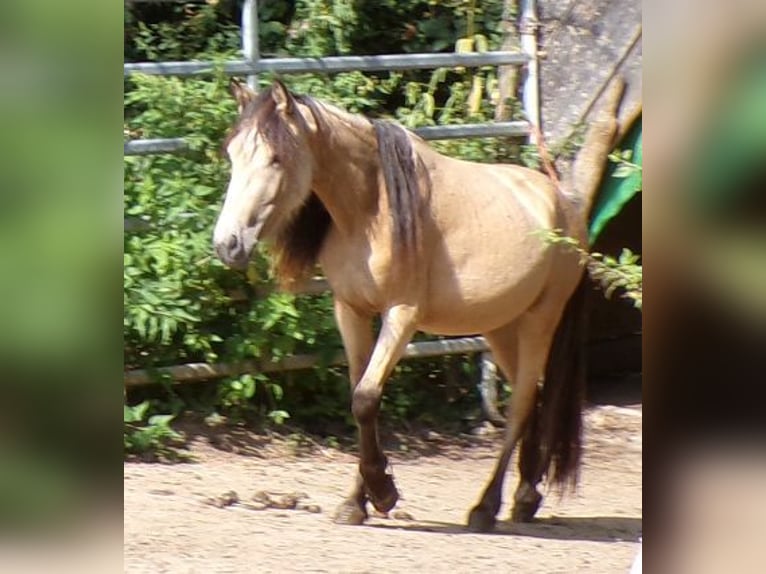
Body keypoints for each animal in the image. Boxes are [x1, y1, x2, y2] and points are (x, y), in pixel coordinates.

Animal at [213, 77, 628, 536]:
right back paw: (525, 496)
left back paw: (486, 507)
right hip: (502, 328)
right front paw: (356, 502)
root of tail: (564, 205)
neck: (371, 208)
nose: (228, 244)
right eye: (232, 153)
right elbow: (358, 399)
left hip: (541, 320)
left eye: (276, 157)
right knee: (532, 397)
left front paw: (382, 492)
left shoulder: (402, 314)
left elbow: (366, 398)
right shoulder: (351, 311)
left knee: (520, 406)